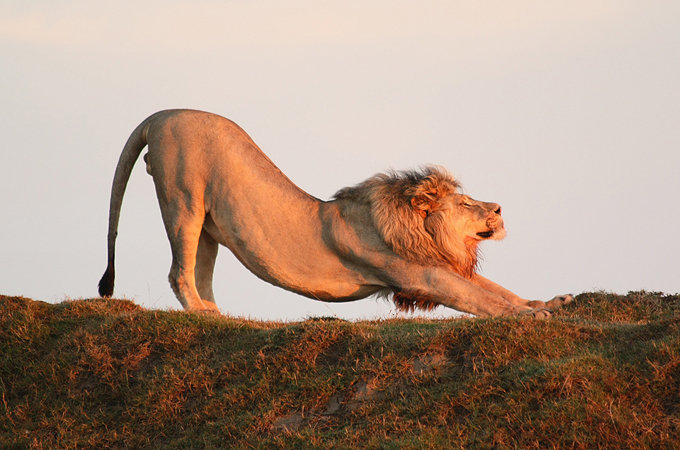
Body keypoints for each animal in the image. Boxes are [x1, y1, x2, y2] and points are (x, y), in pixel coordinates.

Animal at [98, 110, 572, 316]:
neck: (415, 229)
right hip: (184, 200)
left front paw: (548, 301)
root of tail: (160, 114)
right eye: (466, 203)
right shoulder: (418, 275)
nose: (499, 208)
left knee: (200, 271)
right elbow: (477, 297)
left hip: (210, 226)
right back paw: (200, 313)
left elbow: (496, 288)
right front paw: (531, 316)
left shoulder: (432, 266)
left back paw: (221, 316)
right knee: (179, 271)